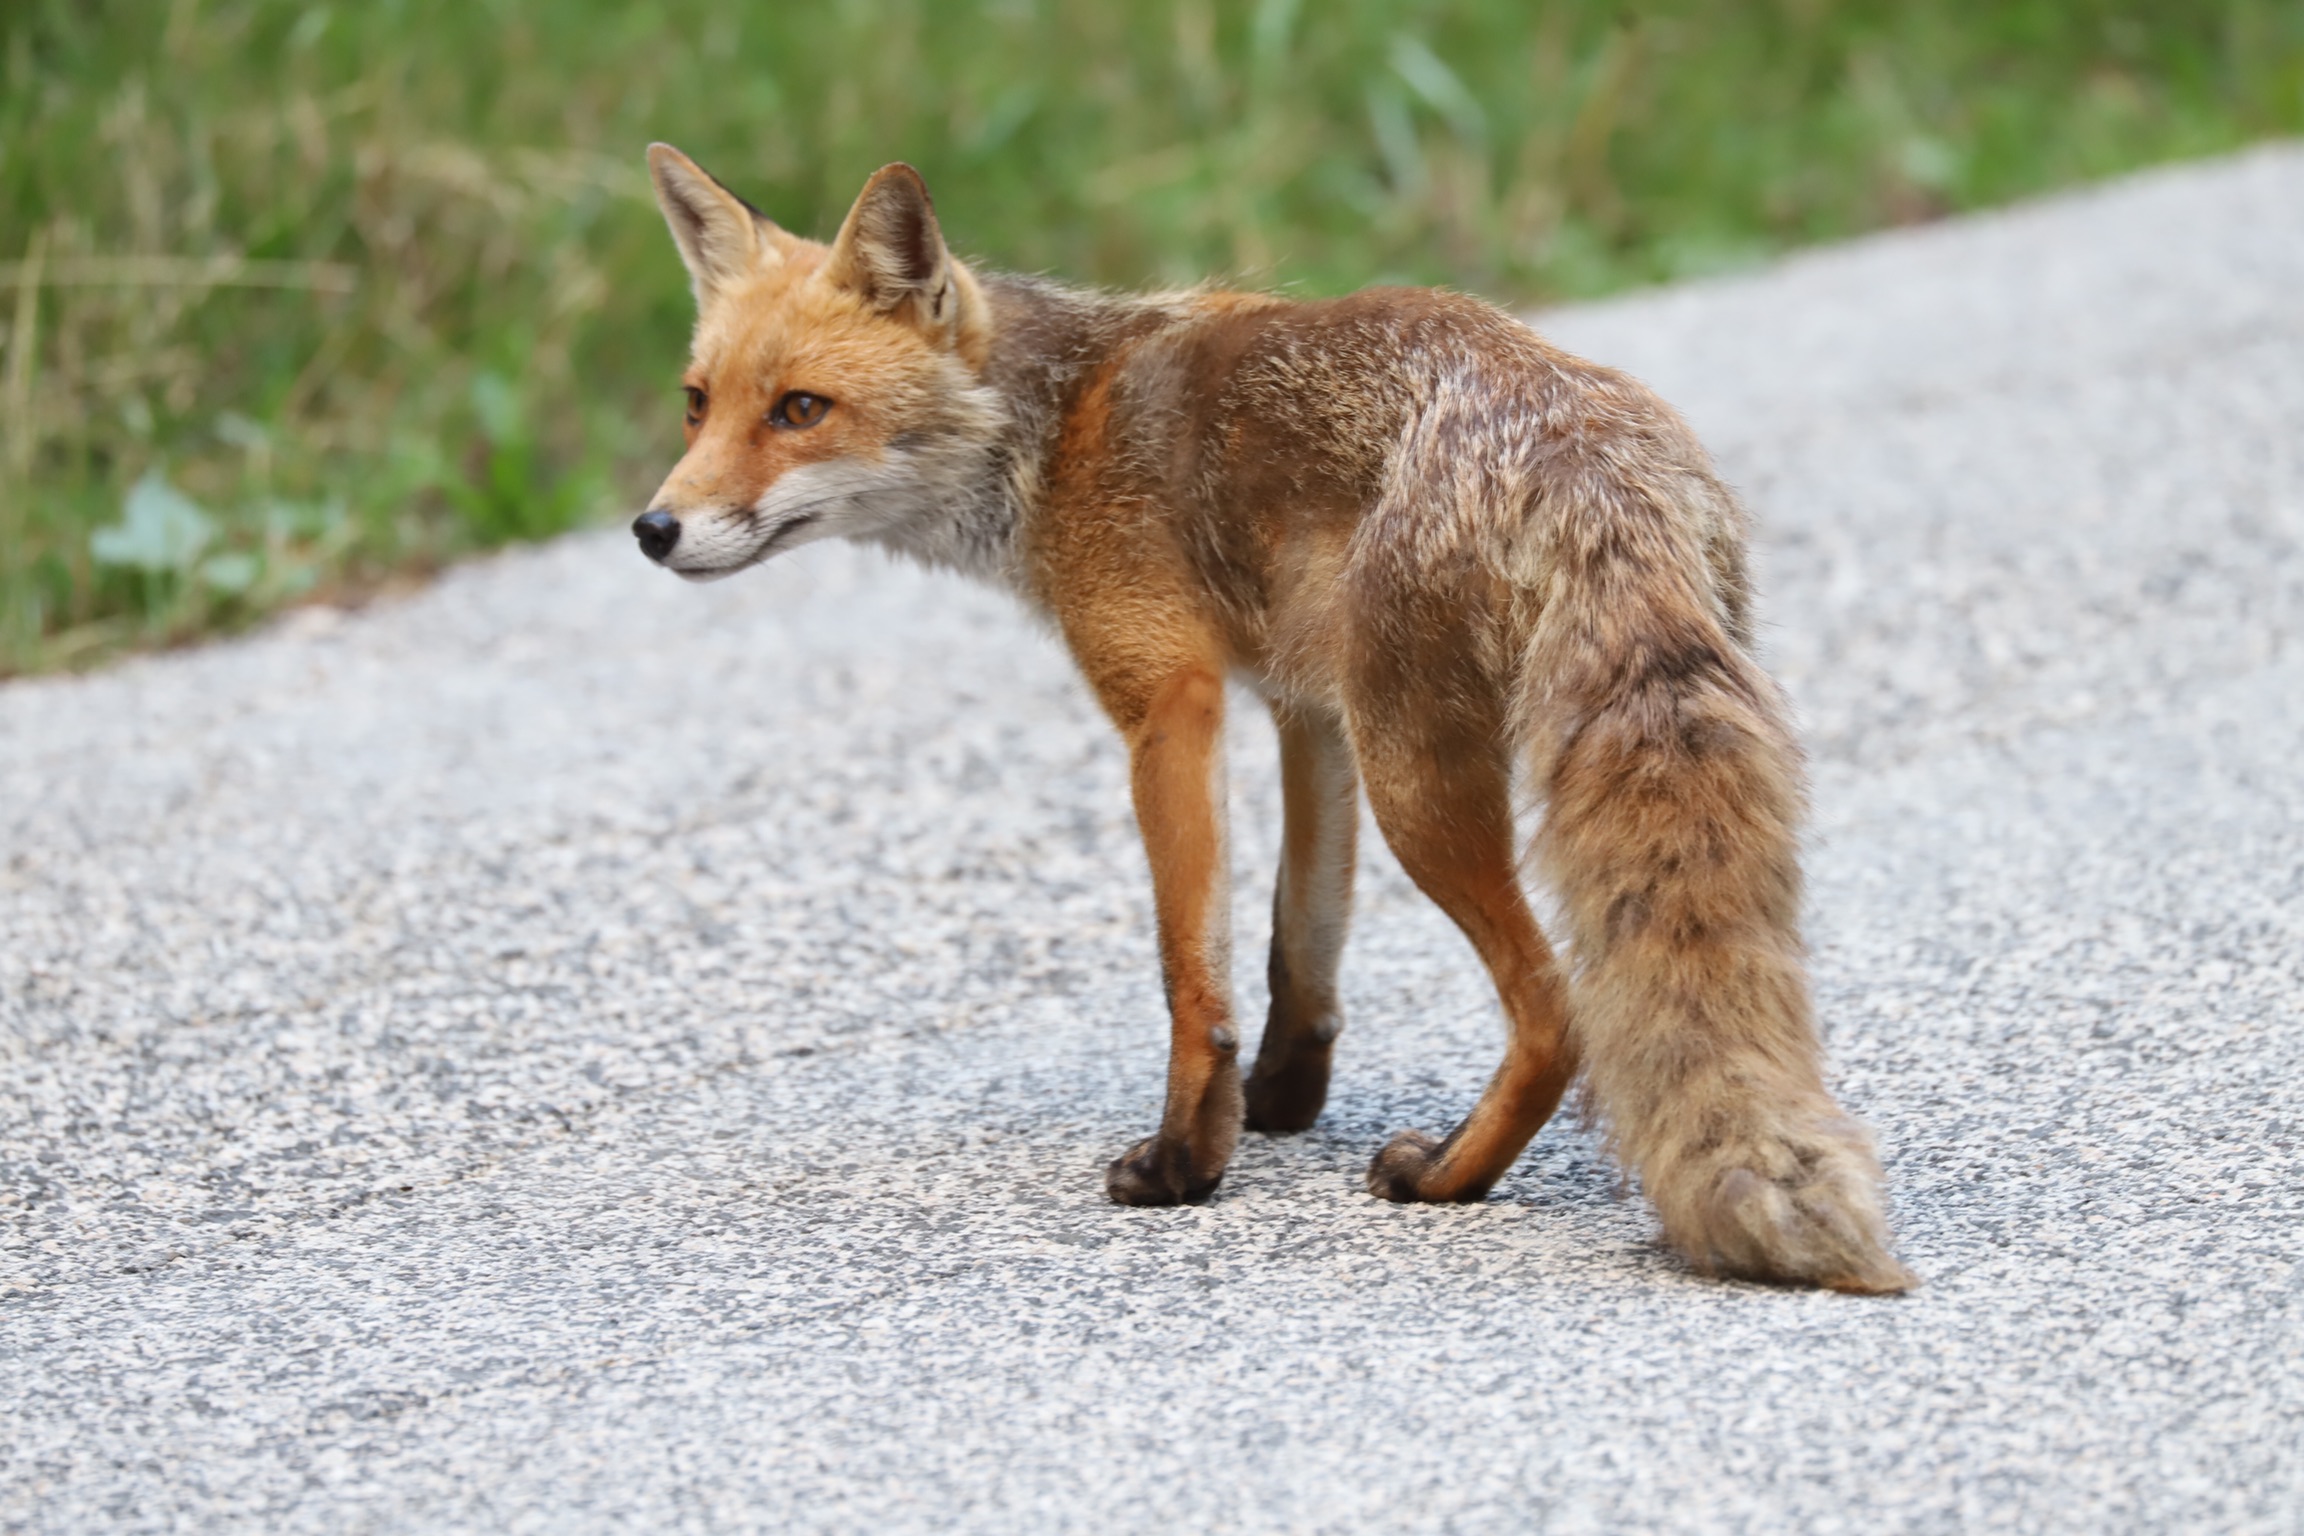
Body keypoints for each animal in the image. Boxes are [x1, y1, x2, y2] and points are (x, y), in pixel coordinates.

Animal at [632, 144, 1914, 1293]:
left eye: (800, 410)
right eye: (697, 406)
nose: (652, 530)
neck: (1060, 431)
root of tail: (1580, 447)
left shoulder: (1170, 700)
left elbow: (1190, 972)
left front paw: (1189, 1158)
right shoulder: (1310, 709)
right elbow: (1299, 942)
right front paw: (1282, 1101)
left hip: (1419, 783)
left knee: (1556, 1008)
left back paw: (1448, 1177)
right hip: (1451, 735)